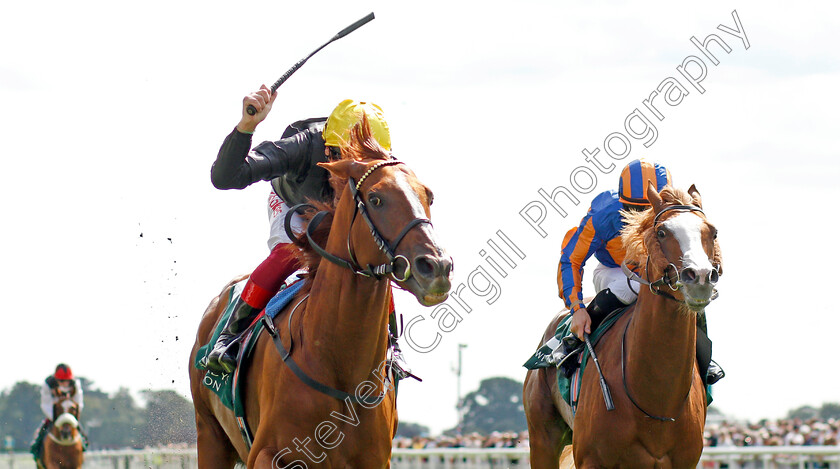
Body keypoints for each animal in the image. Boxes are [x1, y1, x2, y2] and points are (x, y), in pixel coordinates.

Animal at [190, 121, 452, 468]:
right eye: (376, 198)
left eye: (429, 196)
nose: (437, 266)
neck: (339, 371)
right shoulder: (268, 454)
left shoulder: (375, 459)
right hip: (210, 436)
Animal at [524, 183, 720, 468]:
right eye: (662, 232)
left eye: (713, 232)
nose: (701, 277)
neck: (656, 399)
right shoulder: (591, 459)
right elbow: (573, 256)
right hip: (542, 439)